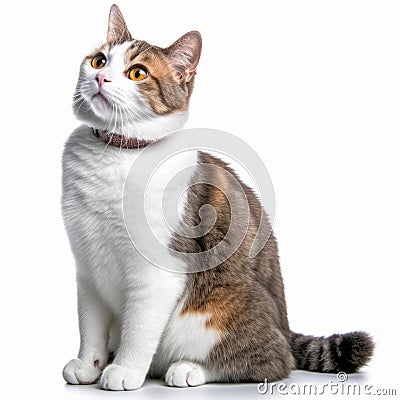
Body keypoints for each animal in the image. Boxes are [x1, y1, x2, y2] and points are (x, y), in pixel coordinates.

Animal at [61, 3, 374, 390]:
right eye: (99, 61)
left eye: (137, 73)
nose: (101, 78)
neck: (115, 153)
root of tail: (286, 328)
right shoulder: (88, 264)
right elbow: (90, 323)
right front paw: (89, 364)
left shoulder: (159, 272)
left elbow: (139, 328)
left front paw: (126, 370)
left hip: (216, 311)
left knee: (271, 361)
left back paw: (188, 369)